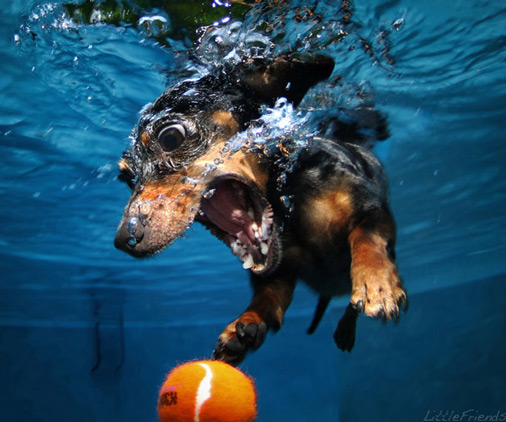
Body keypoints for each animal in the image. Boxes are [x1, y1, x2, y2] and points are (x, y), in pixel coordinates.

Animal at [114, 54, 408, 364]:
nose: (122, 240)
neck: (286, 203)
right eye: (127, 178)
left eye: (170, 137)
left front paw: (376, 281)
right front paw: (245, 325)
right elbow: (267, 300)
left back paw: (348, 326)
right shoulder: (278, 275)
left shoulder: (374, 211)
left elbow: (366, 237)